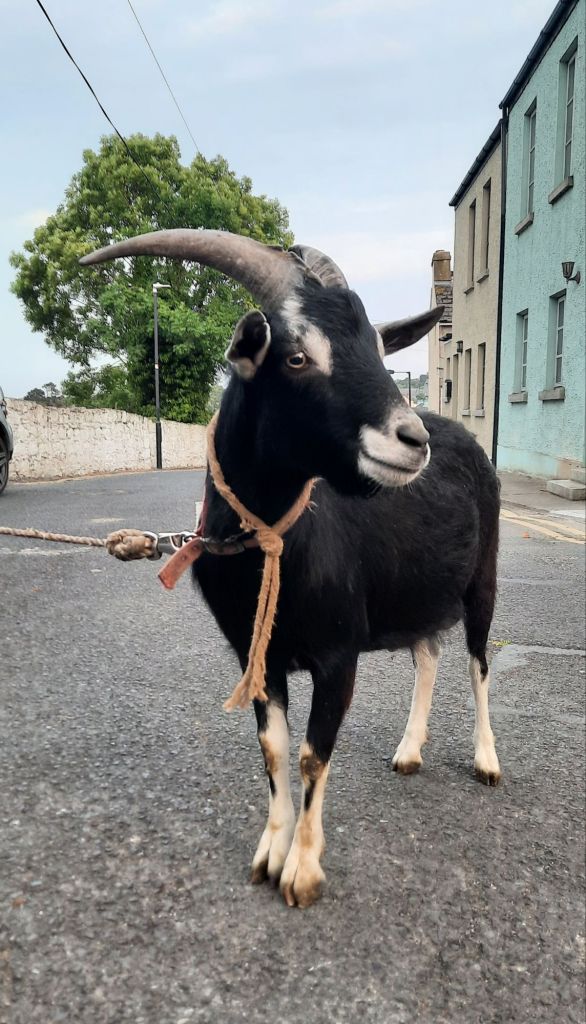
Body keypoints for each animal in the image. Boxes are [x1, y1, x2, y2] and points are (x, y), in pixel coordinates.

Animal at [81, 230, 501, 908]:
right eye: (298, 356)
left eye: (379, 350)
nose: (412, 440)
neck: (274, 547)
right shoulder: (257, 654)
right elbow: (274, 751)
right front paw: (268, 854)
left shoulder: (338, 653)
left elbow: (311, 754)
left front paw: (302, 871)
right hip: (414, 589)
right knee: (429, 653)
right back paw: (409, 751)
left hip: (483, 577)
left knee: (478, 662)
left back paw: (487, 761)